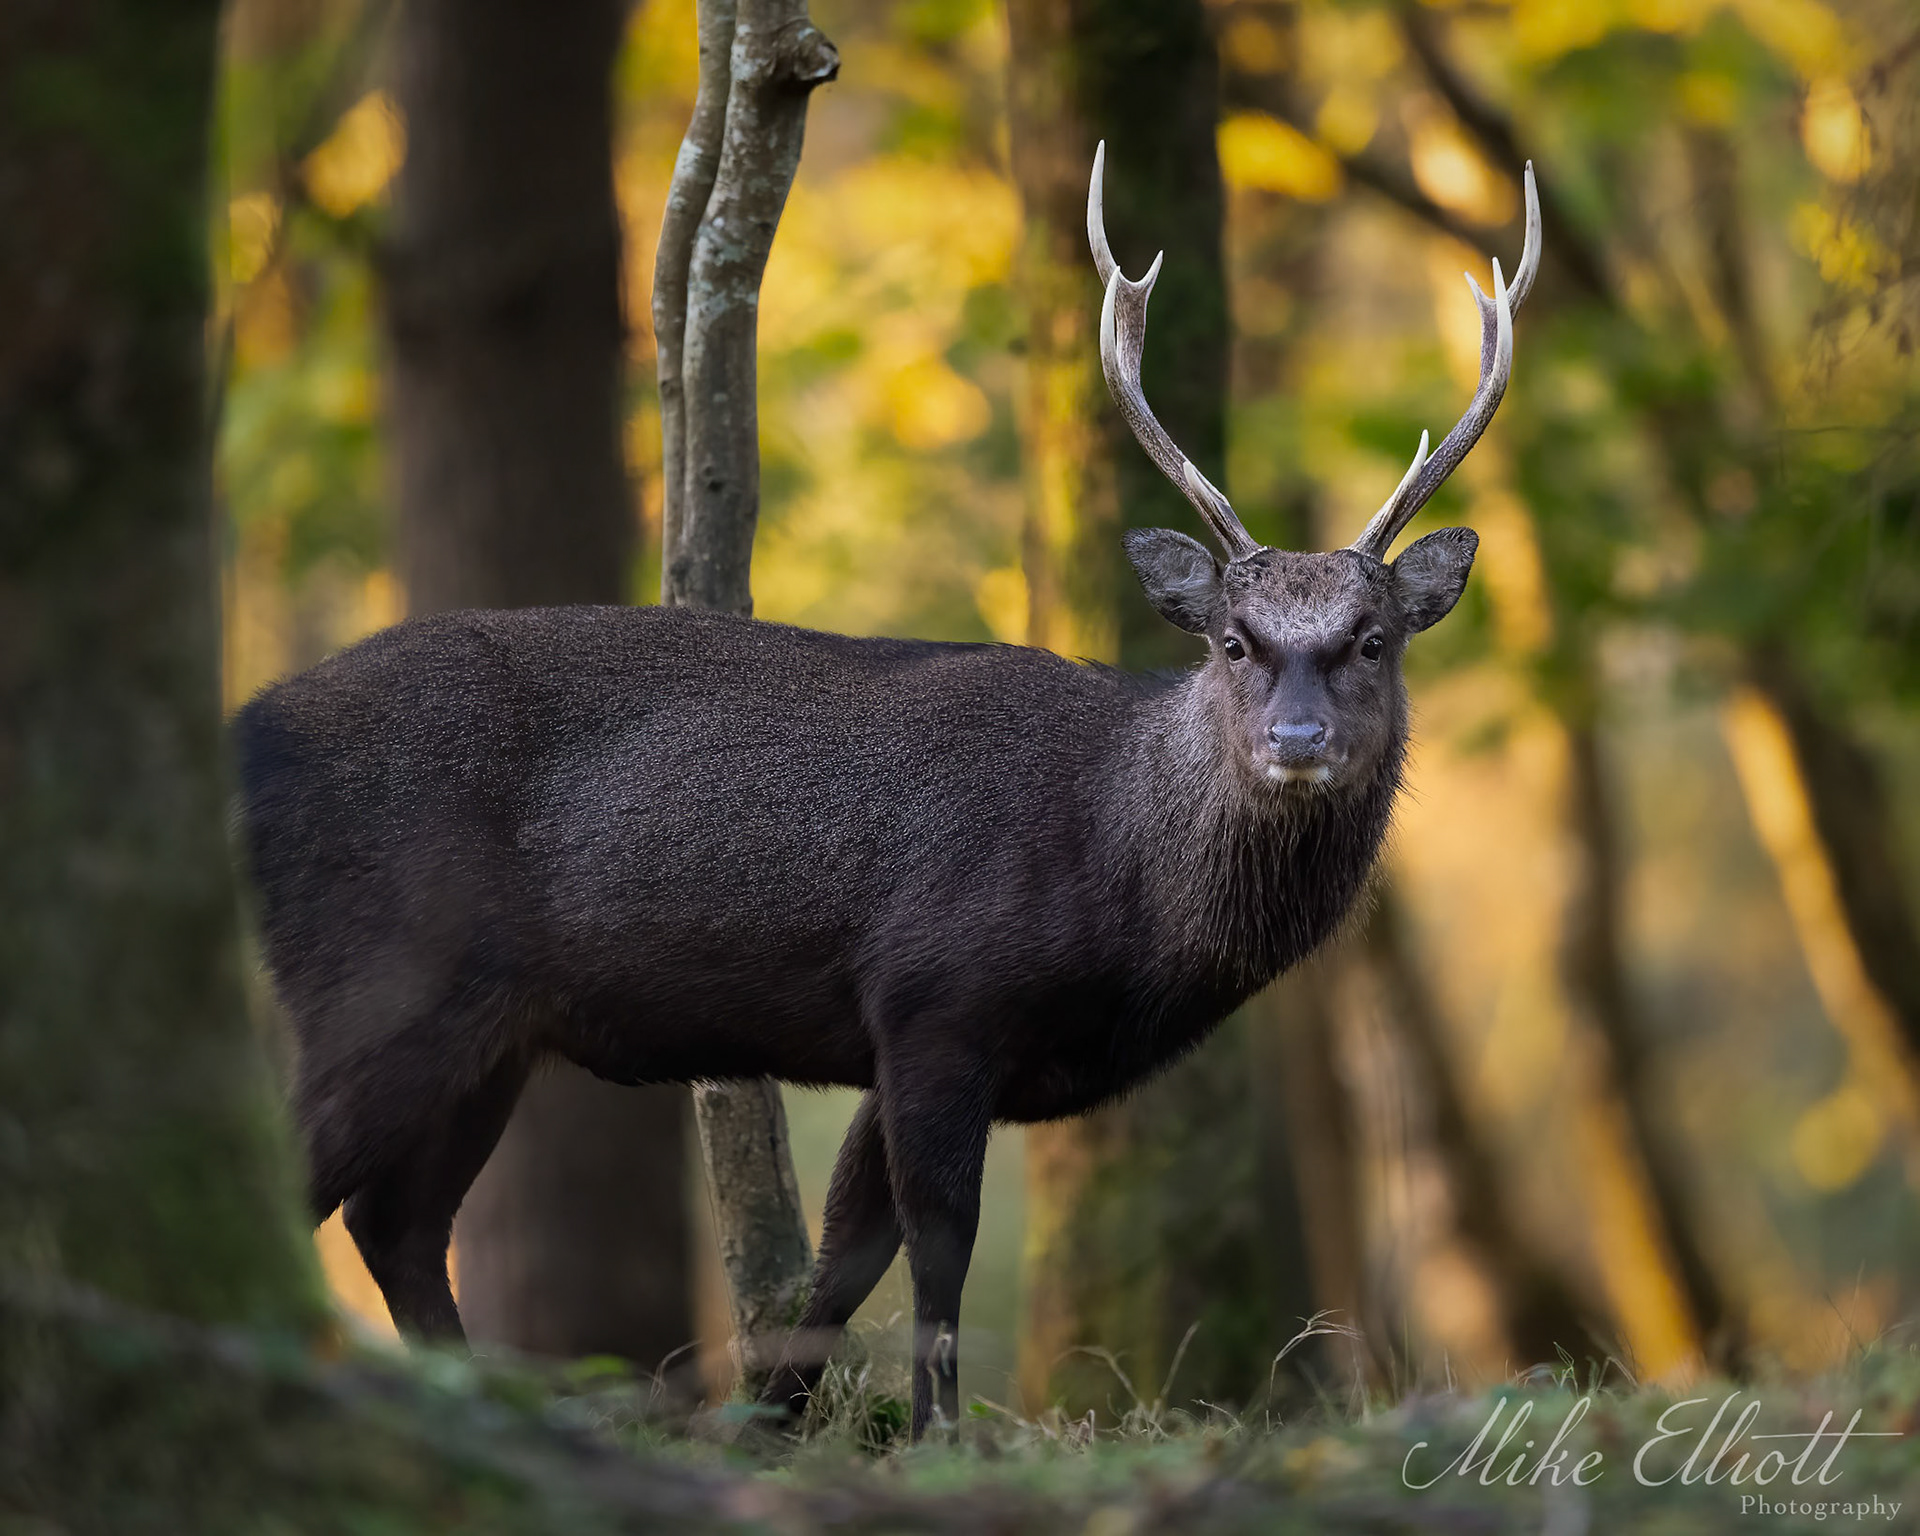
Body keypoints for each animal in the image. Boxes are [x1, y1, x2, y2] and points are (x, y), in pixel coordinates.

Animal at [234, 146, 1540, 1440]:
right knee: (297, 1174)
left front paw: (767, 1425)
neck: (1115, 874)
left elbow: (841, 1262)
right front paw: (939, 1437)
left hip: (481, 1024)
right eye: (1234, 640)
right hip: (378, 971)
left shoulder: (896, 1039)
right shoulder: (936, 997)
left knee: (397, 1222)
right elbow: (936, 1248)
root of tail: (249, 732)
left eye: (1373, 638)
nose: (1298, 739)